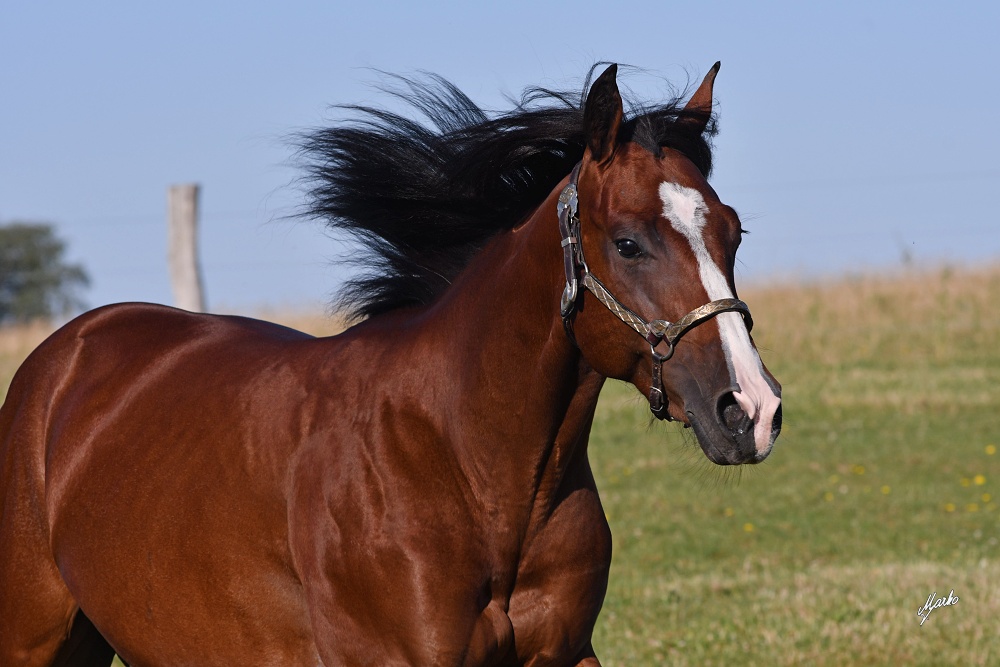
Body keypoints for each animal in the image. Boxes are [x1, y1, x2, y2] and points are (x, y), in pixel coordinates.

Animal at [0, 61, 780, 664]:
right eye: (626, 242)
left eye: (733, 231)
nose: (750, 409)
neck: (470, 468)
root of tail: (65, 355)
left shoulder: (563, 652)